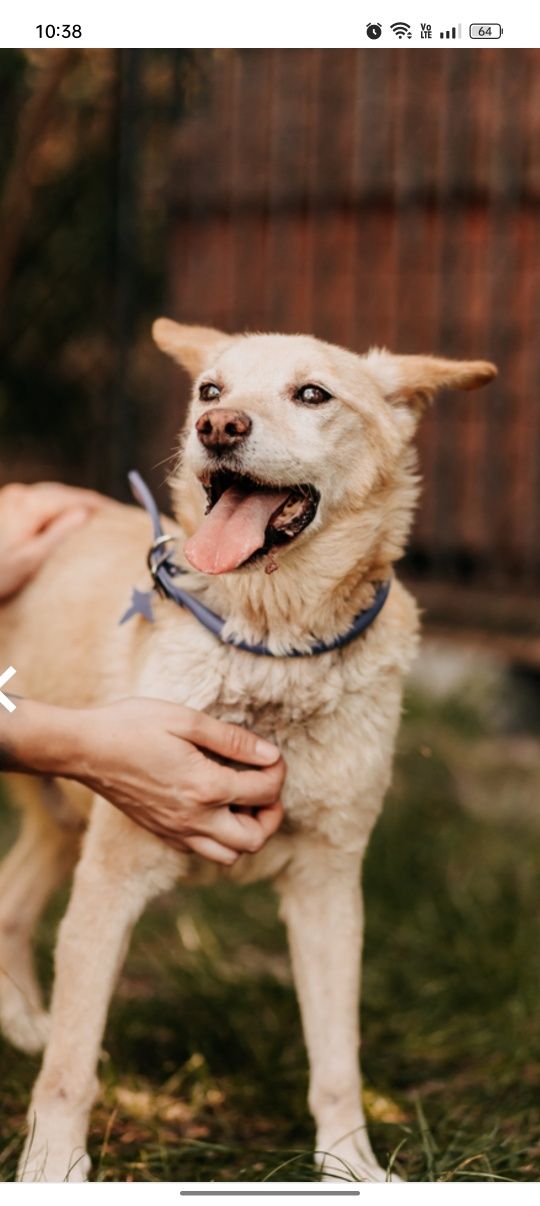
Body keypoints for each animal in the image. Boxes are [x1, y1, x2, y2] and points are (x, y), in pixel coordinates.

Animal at [0, 320, 496, 1177]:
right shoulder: (112, 874)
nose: (218, 428)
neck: (270, 646)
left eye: (312, 393)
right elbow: (71, 1065)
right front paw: (53, 1168)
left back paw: (24, 1024)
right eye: (210, 389)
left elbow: (337, 1059)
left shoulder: (331, 886)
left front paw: (349, 1165)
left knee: (9, 901)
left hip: (65, 817)